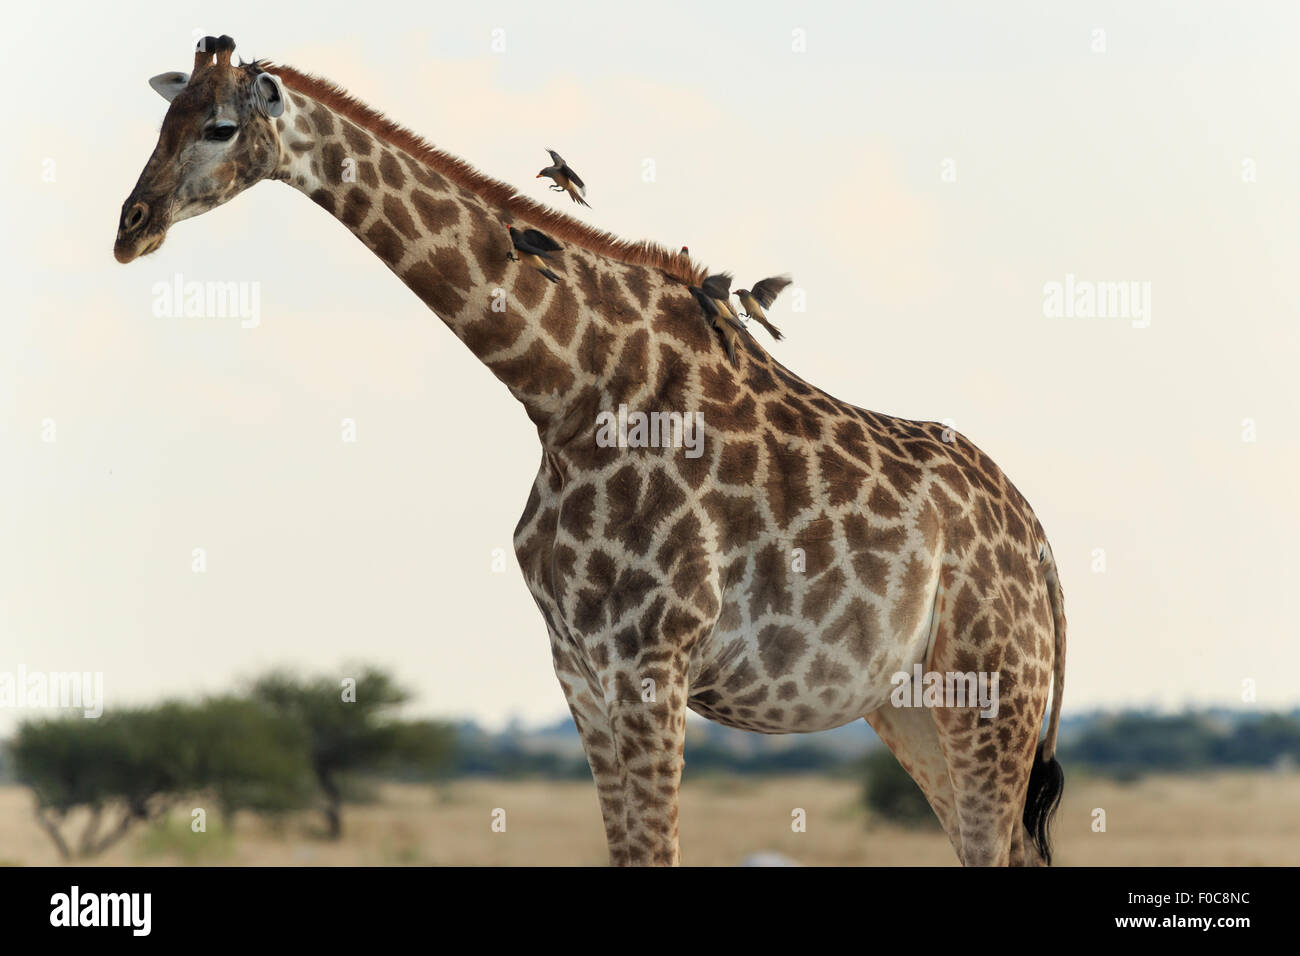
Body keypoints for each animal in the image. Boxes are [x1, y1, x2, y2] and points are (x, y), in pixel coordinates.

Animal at [114, 37, 1066, 868]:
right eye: (164, 120)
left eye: (220, 128)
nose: (132, 226)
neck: (563, 392)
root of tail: (1041, 548)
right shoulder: (577, 665)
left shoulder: (651, 659)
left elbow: (657, 851)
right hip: (912, 706)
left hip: (990, 692)